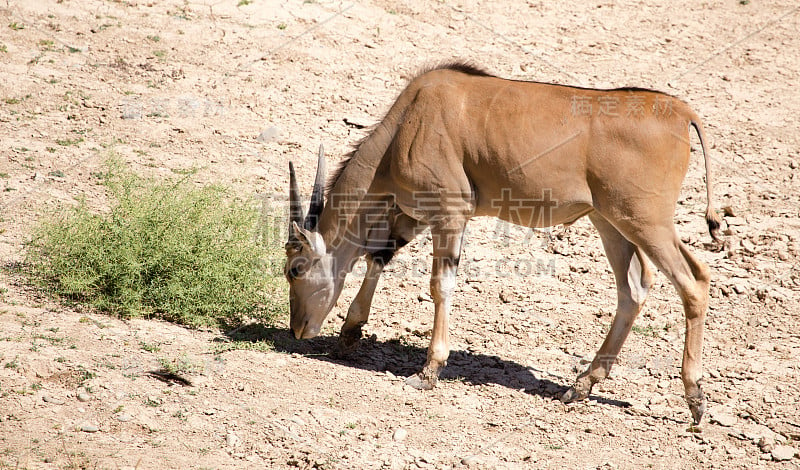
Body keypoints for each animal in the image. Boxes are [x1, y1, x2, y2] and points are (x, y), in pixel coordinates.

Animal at [284, 60, 720, 424]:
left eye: (294, 269)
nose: (298, 329)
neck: (409, 122)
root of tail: (681, 113)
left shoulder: (449, 213)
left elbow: (439, 286)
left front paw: (428, 371)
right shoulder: (412, 216)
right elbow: (378, 257)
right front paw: (350, 332)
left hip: (646, 222)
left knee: (694, 280)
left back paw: (695, 399)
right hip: (610, 221)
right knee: (634, 287)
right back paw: (581, 385)